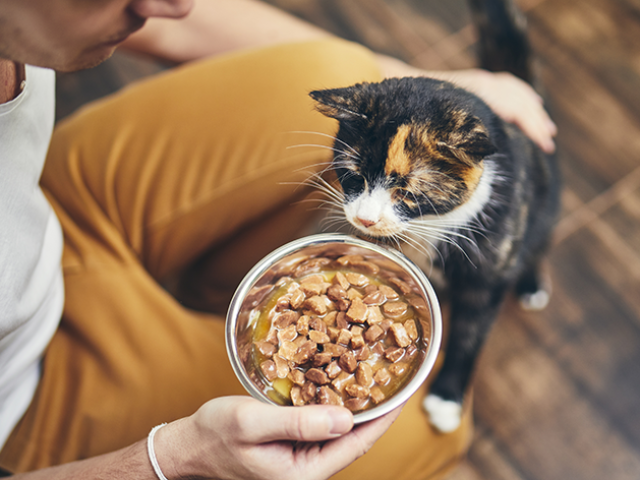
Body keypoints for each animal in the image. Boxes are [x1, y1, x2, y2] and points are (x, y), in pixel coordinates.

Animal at [308, 0, 556, 436]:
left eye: (407, 193)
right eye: (353, 176)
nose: (366, 220)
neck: (429, 228)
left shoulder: (487, 273)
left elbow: (469, 334)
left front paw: (447, 399)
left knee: (540, 242)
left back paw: (531, 283)